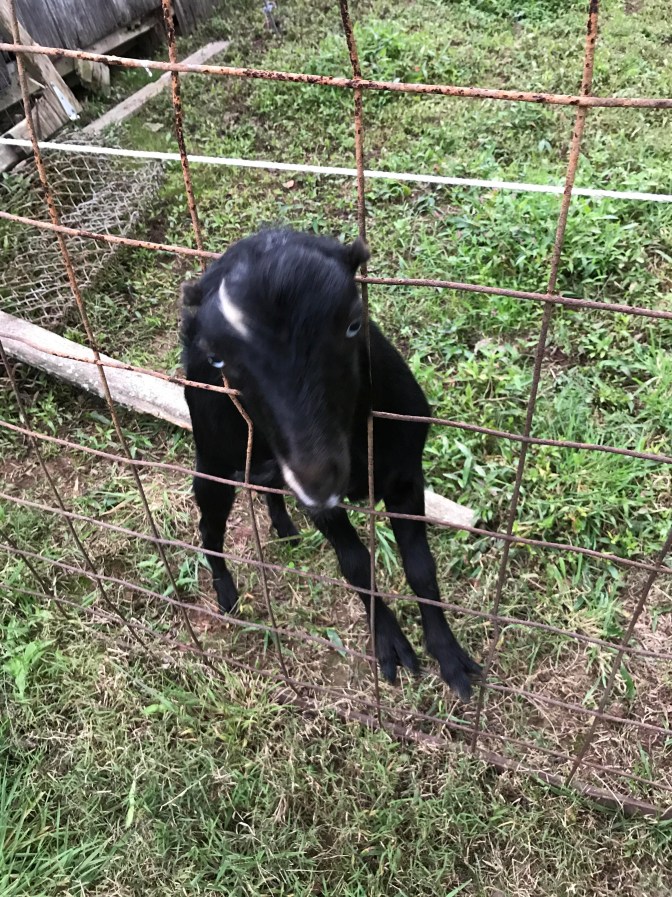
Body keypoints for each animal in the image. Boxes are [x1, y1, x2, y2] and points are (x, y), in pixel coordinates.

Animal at [181, 229, 481, 700]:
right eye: (219, 359)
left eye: (354, 322)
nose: (318, 478)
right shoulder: (322, 502)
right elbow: (355, 564)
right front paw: (392, 647)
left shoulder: (406, 476)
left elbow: (421, 567)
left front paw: (451, 659)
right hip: (213, 448)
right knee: (209, 522)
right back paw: (228, 596)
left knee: (264, 485)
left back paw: (284, 529)